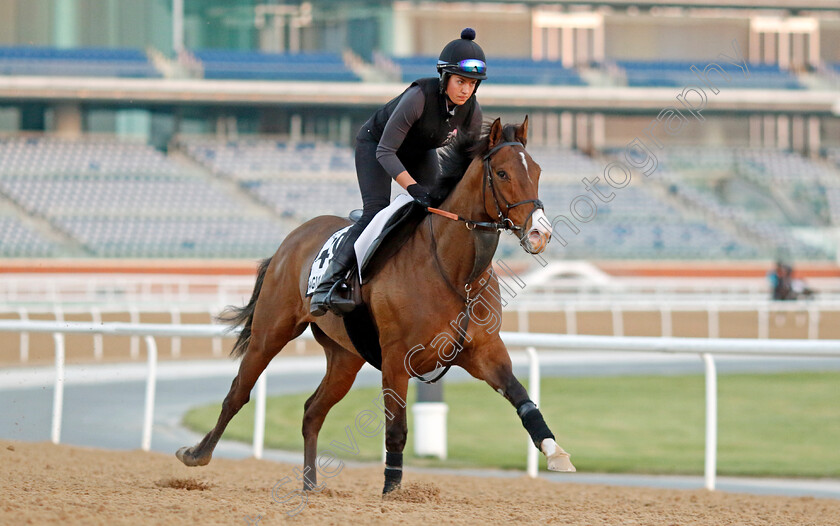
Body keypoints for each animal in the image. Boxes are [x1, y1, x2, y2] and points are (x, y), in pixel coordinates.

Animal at [174, 117, 576, 498]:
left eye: (537, 170)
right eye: (503, 173)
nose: (540, 233)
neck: (455, 272)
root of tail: (291, 240)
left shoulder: (483, 352)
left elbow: (522, 398)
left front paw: (555, 451)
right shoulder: (398, 359)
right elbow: (395, 429)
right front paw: (391, 491)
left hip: (344, 357)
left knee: (312, 412)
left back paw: (310, 485)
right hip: (270, 332)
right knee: (238, 392)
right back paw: (196, 454)